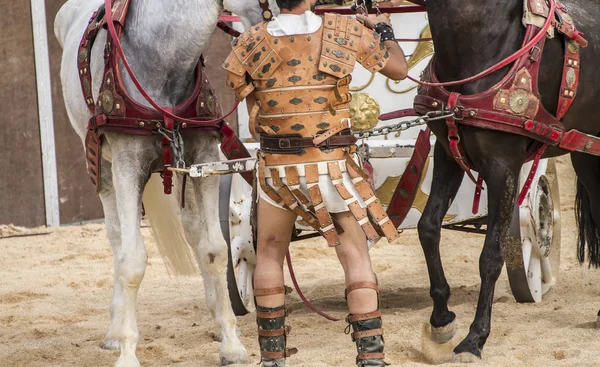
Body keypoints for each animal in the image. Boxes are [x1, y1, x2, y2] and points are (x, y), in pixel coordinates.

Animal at [54, 0, 278, 367]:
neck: (162, 59)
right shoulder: (127, 166)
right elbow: (131, 261)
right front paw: (128, 352)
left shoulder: (204, 157)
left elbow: (214, 250)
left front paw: (231, 343)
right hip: (105, 169)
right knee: (117, 238)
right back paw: (115, 331)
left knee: (193, 231)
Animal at [418, 0, 600, 362]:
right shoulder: (448, 153)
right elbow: (428, 227)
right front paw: (442, 319)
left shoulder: (503, 167)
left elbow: (491, 255)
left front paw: (475, 338)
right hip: (587, 159)